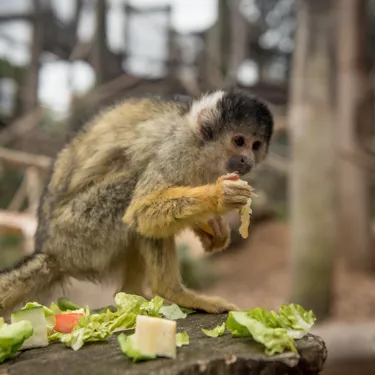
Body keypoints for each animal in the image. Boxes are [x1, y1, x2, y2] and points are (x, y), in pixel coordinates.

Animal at [0, 89, 274, 316]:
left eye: (256, 145)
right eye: (239, 141)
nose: (247, 159)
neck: (202, 149)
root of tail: (50, 251)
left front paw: (212, 228)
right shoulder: (178, 150)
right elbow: (142, 212)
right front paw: (219, 195)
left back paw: (134, 295)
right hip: (78, 234)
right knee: (133, 186)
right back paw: (172, 291)